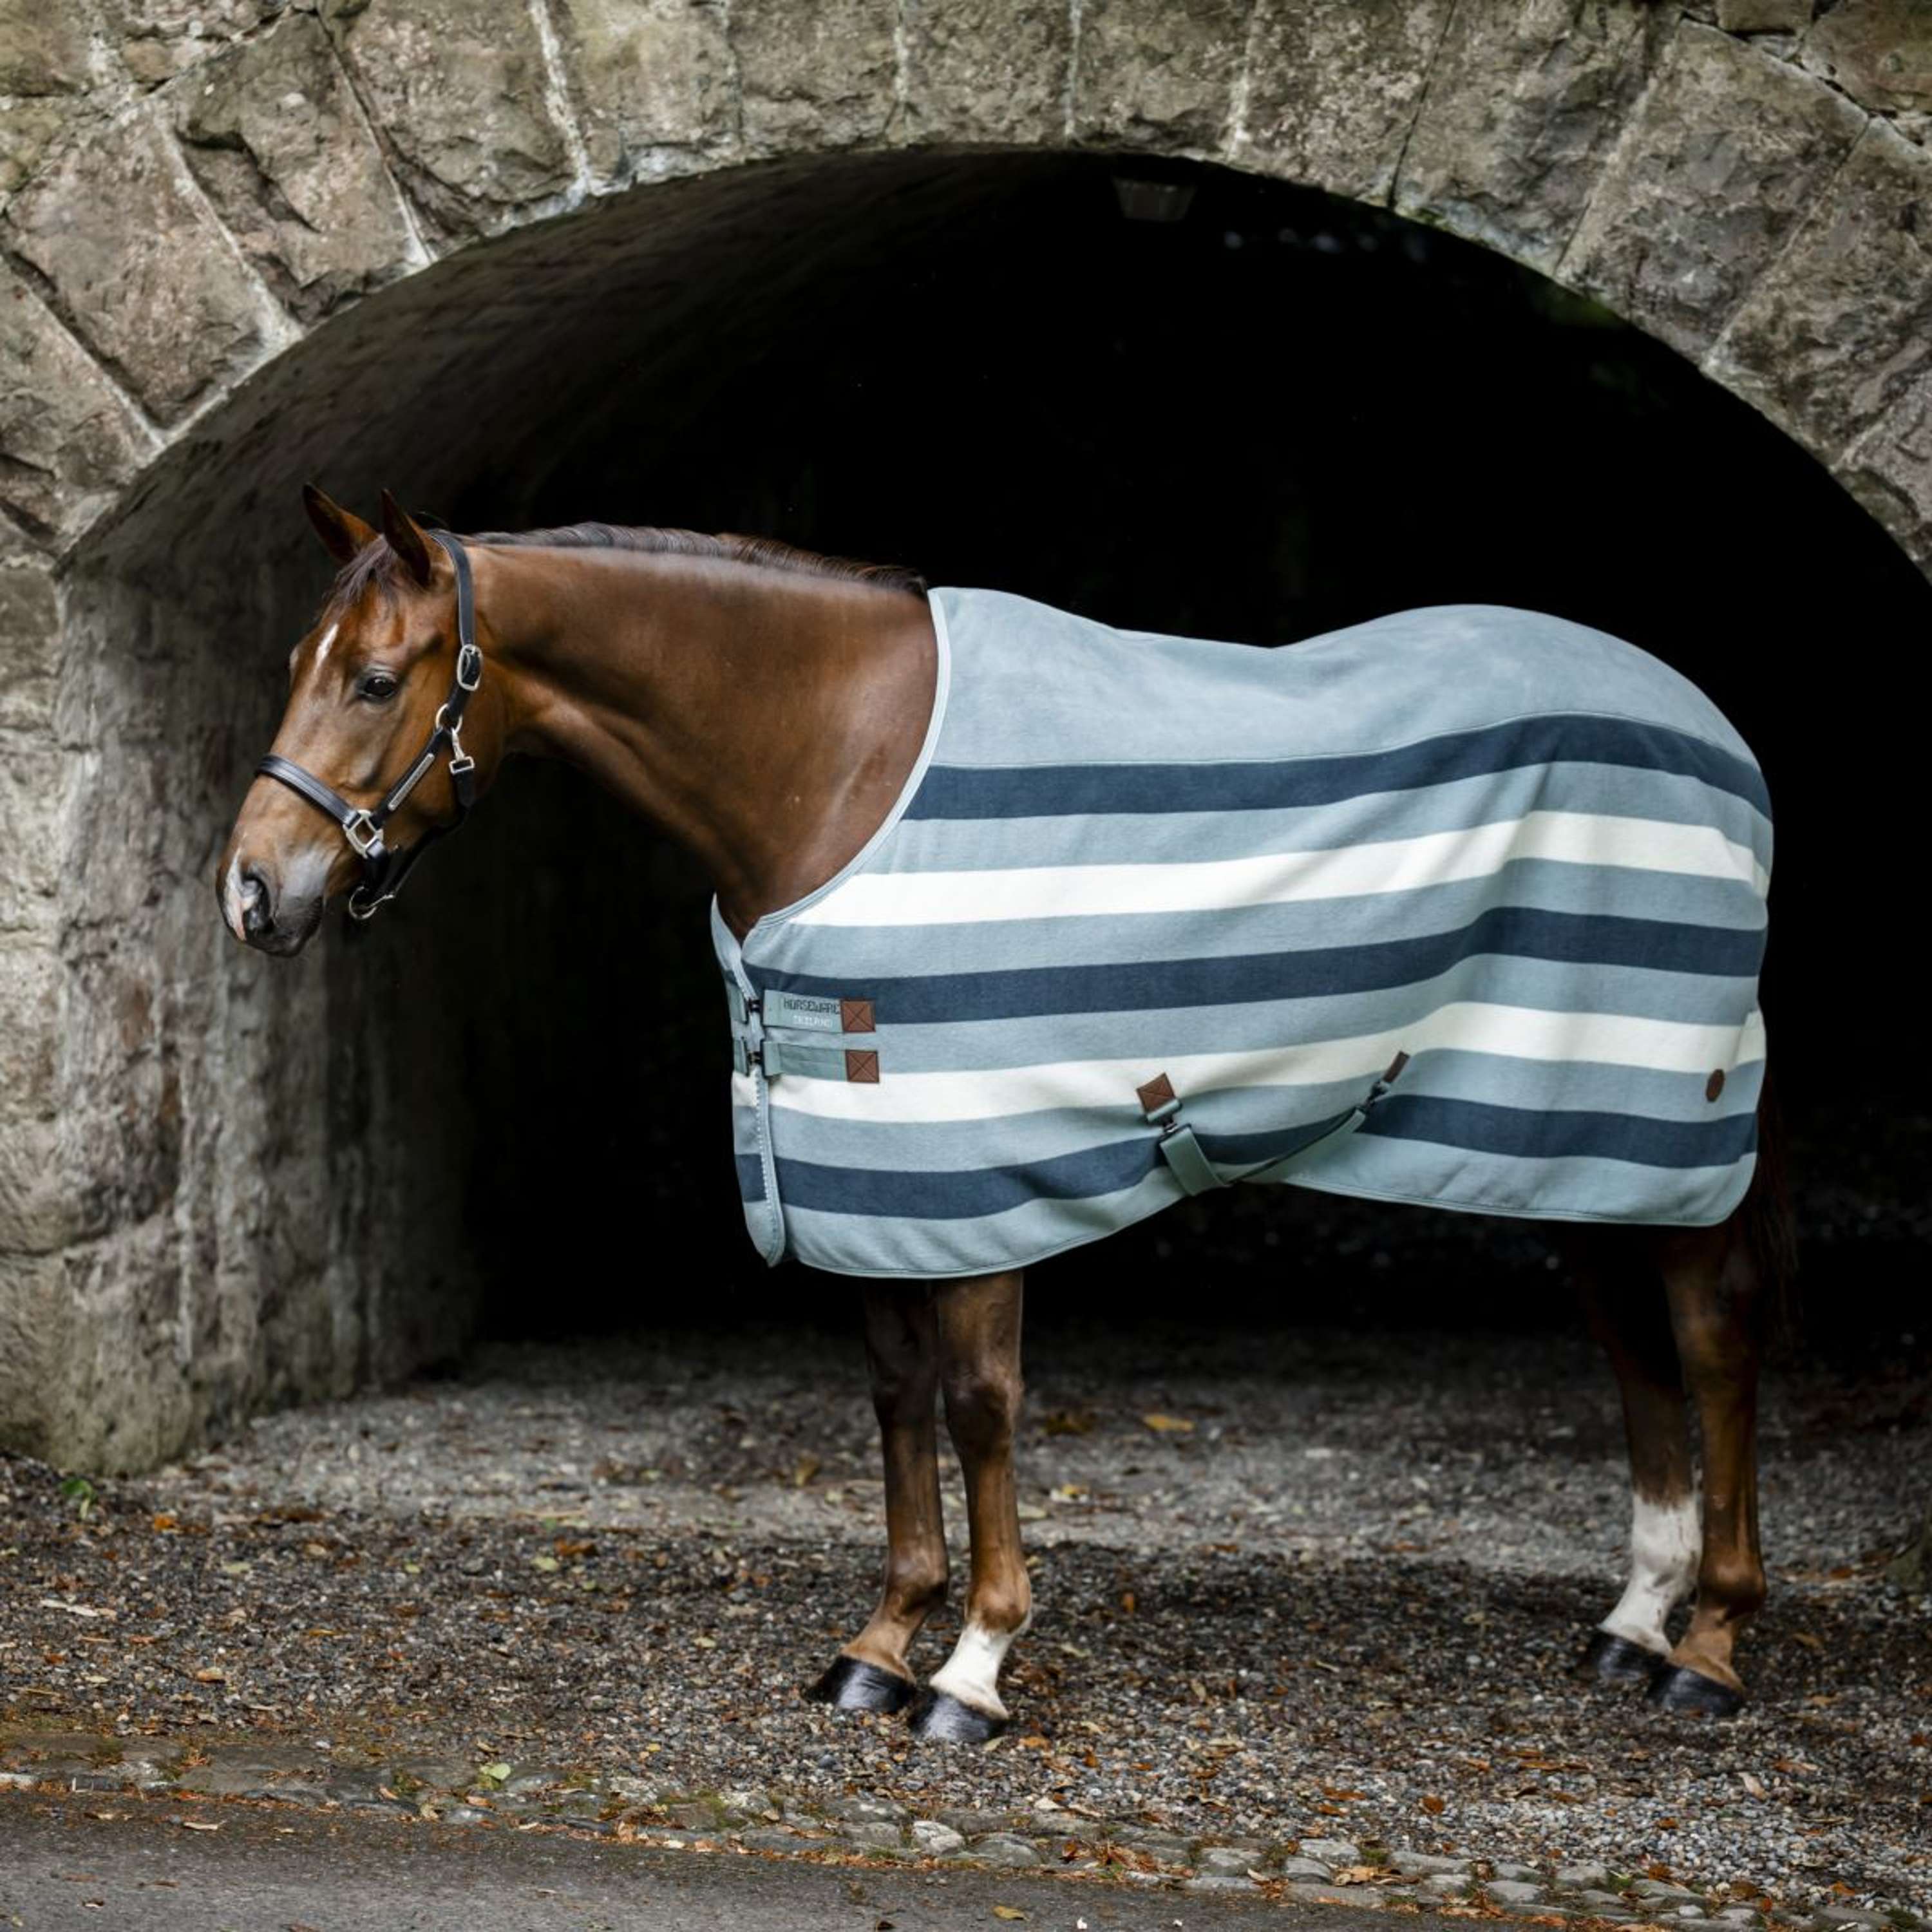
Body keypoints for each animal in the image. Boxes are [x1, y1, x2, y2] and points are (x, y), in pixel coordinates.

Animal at [218, 486, 1790, 1740]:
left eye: (376, 680)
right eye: (294, 663)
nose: (253, 892)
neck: (834, 757)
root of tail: (1715, 729)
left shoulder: (976, 1176)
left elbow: (978, 1406)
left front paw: (971, 1669)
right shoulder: (865, 1175)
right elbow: (896, 1395)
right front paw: (879, 1643)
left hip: (1676, 1137)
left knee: (1713, 1346)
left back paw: (1710, 1645)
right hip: (1562, 1144)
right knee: (1630, 1347)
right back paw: (1632, 1621)